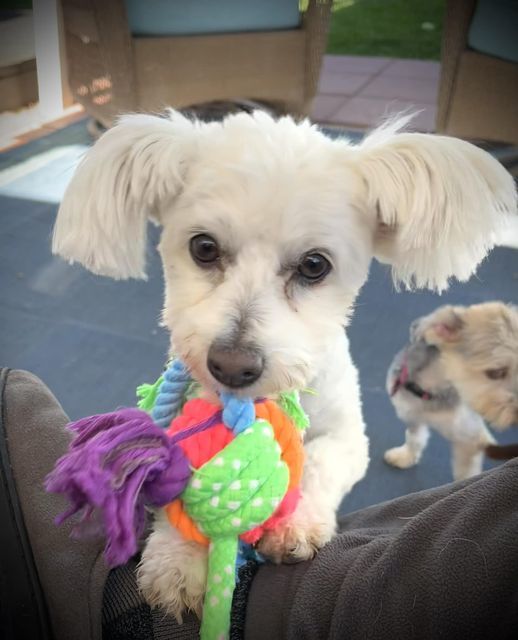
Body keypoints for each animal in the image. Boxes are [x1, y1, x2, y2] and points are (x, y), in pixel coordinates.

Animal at [50, 111, 516, 620]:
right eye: (204, 248)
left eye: (314, 265)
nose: (232, 367)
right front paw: (177, 558)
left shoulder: (349, 437)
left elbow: (320, 461)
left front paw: (296, 522)